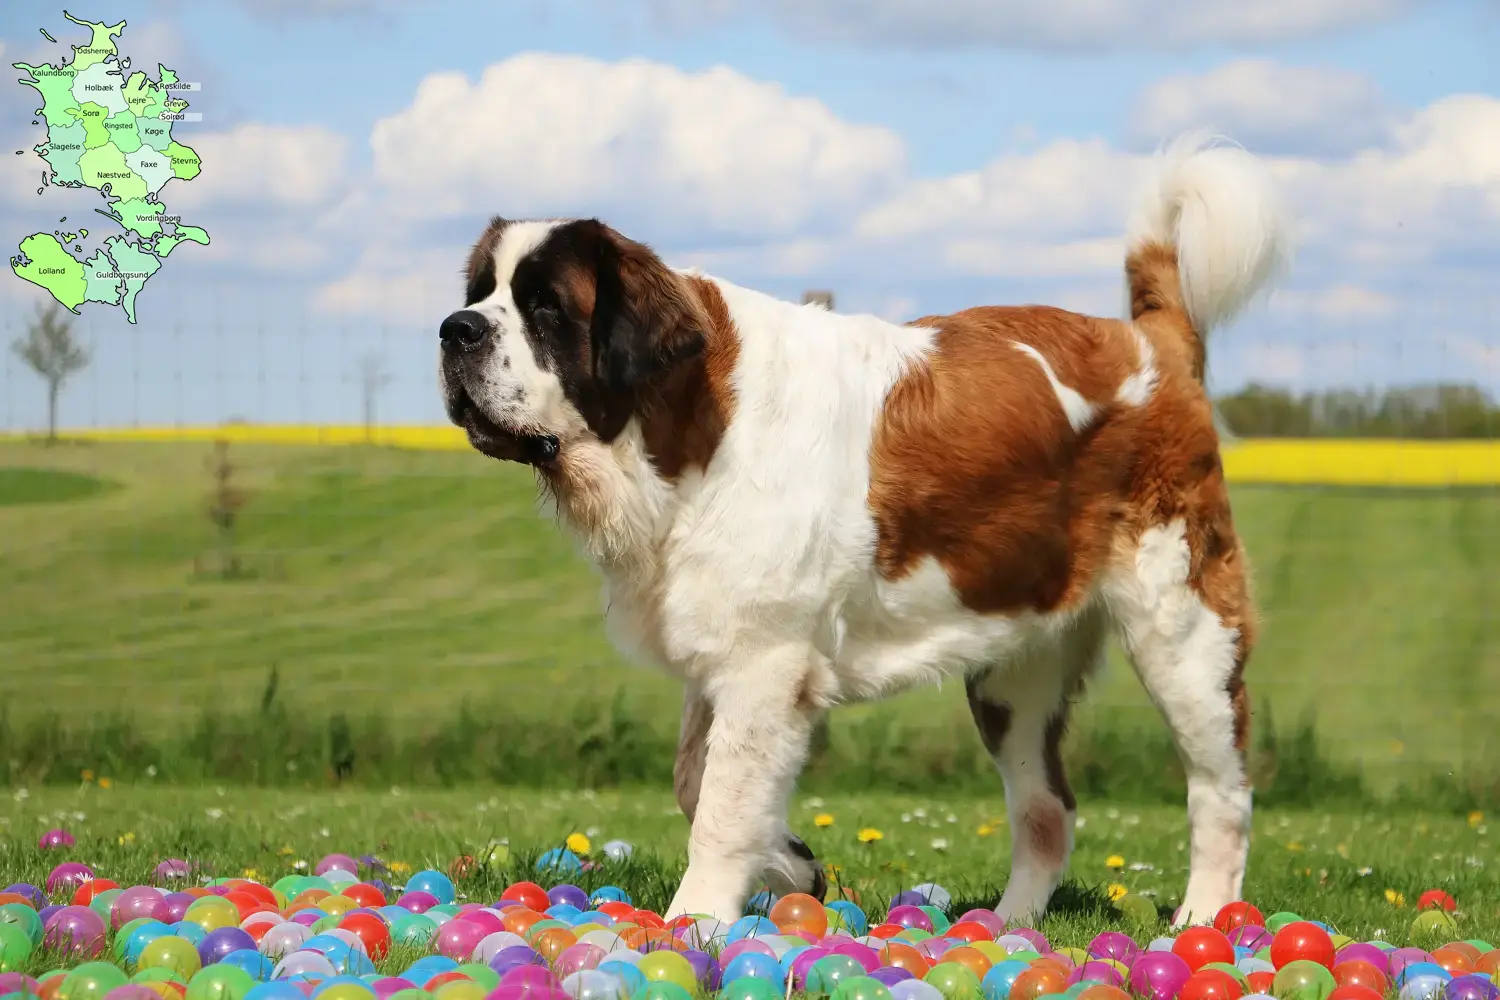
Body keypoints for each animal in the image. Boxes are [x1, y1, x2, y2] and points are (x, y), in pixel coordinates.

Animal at [438, 134, 1290, 929]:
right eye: (481, 292)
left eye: (547, 307)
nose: (455, 329)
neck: (680, 425)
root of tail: (1153, 340)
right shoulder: (725, 647)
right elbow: (696, 782)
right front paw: (794, 863)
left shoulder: (764, 663)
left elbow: (719, 808)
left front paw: (693, 924)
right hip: (1014, 672)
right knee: (1048, 811)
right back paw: (1007, 926)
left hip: (1184, 633)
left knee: (1220, 791)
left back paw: (1204, 917)